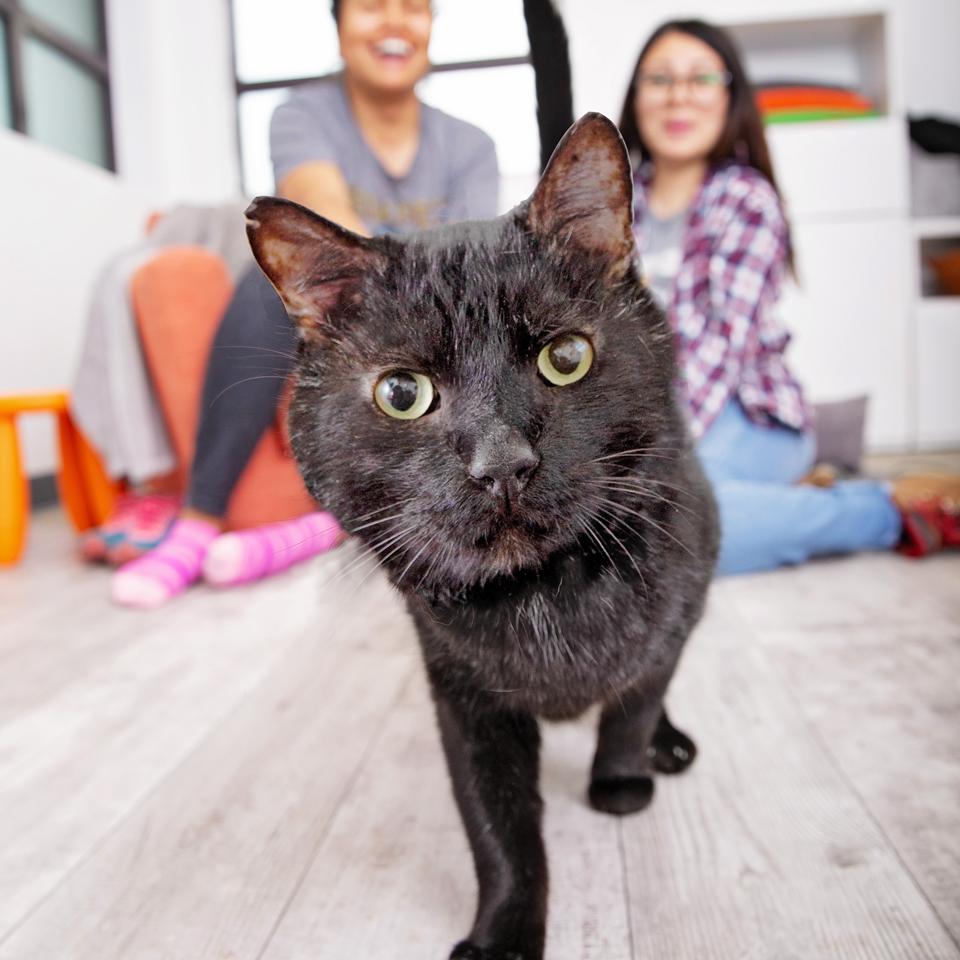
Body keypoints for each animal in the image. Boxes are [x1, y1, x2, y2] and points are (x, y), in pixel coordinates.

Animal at [244, 114, 716, 960]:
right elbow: (497, 827)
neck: (547, 596)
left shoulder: (680, 599)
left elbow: (635, 700)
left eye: (566, 357)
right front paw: (502, 934)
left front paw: (621, 782)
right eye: (402, 393)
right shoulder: (462, 696)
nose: (502, 464)